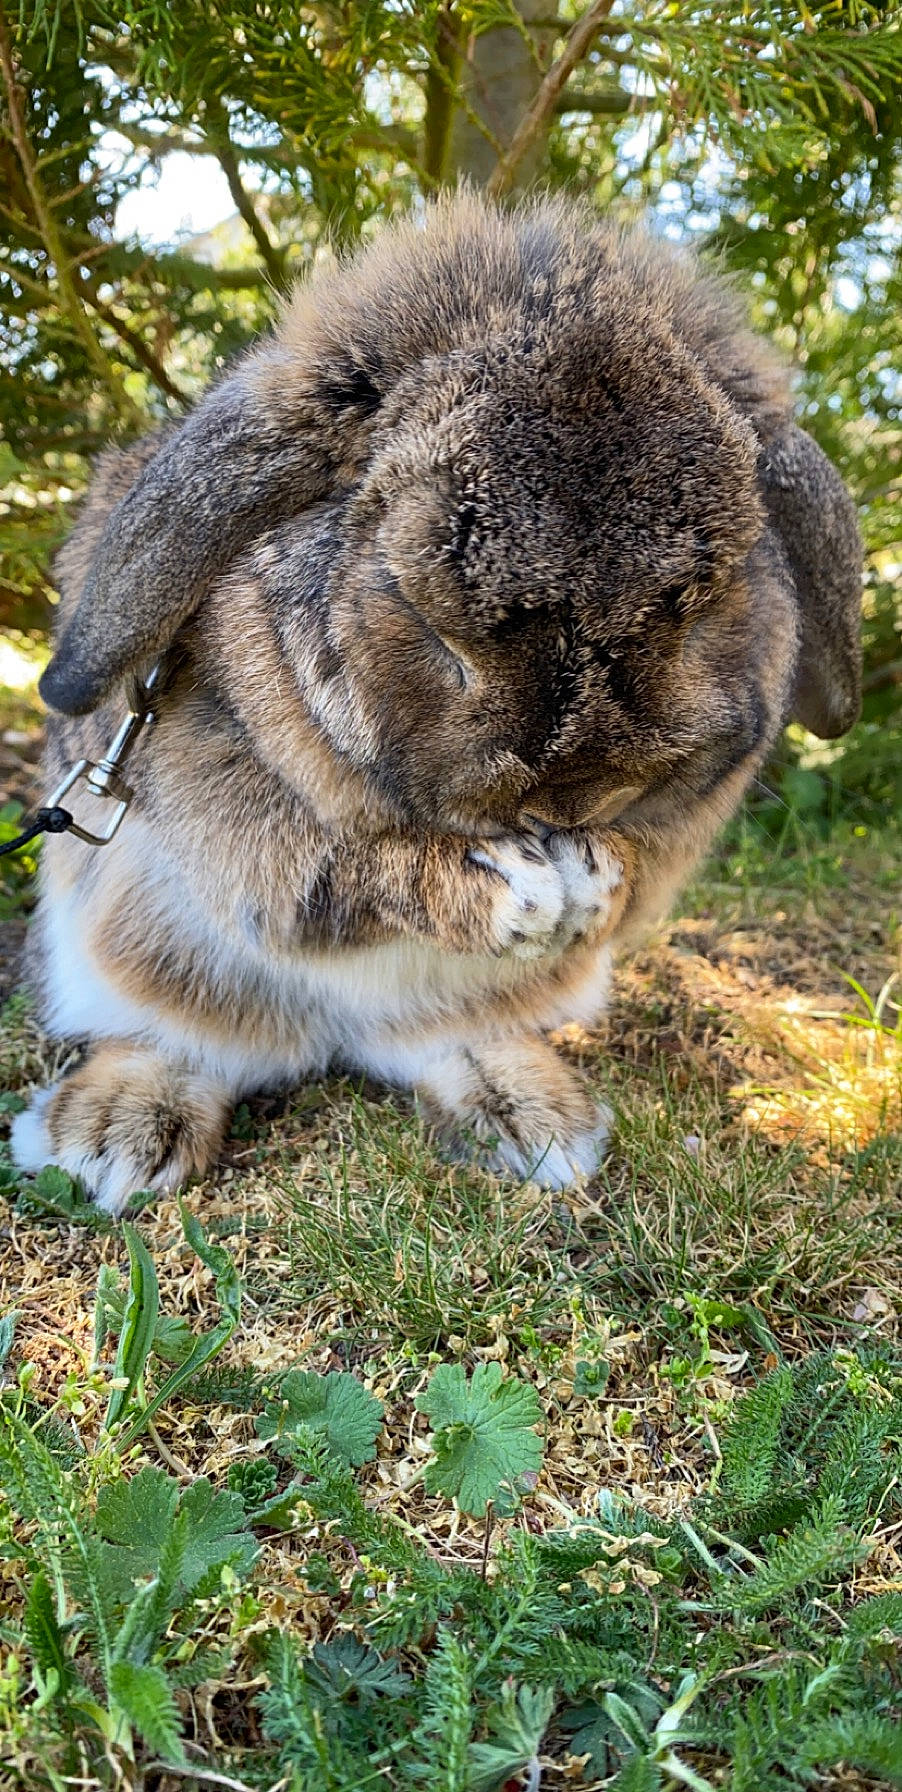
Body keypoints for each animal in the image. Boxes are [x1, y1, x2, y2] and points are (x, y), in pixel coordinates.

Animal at [11, 191, 862, 1214]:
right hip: (131, 950)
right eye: (426, 618)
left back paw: (534, 1125)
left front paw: (594, 882)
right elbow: (329, 874)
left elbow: (635, 865)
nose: (572, 798)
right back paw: (116, 1140)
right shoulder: (229, 805)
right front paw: (510, 891)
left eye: (709, 602)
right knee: (179, 1035)